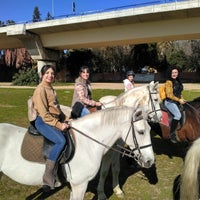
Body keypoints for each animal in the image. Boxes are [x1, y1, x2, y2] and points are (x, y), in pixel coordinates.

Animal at [0, 105, 153, 199]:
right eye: (141, 132)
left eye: (150, 129)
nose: (150, 161)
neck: (87, 142)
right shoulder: (80, 184)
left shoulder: (76, 186)